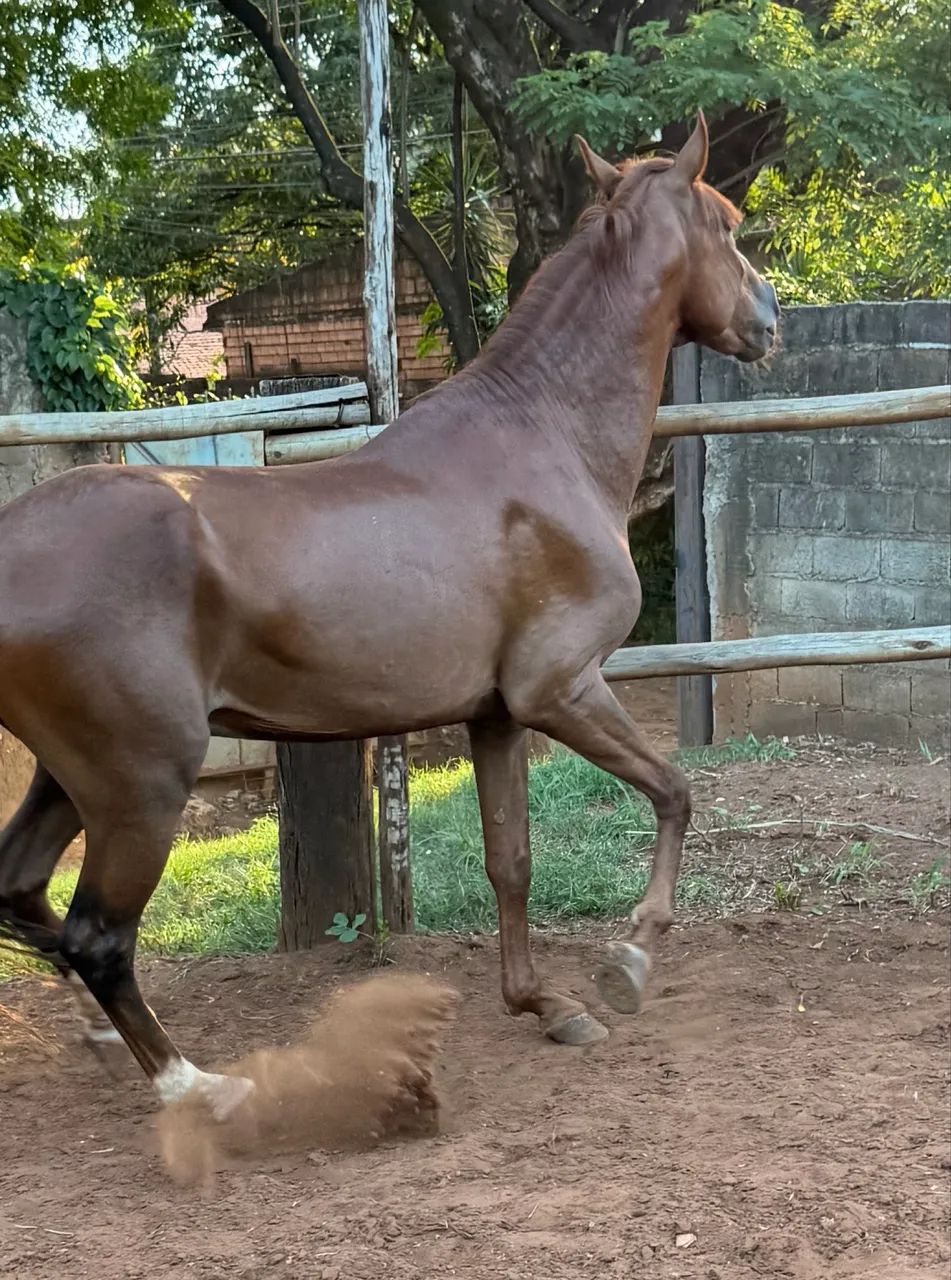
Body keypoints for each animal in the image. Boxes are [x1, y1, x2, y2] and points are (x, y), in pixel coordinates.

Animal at [0, 114, 779, 1120]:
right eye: (726, 224)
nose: (768, 322)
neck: (544, 444)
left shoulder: (495, 715)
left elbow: (510, 860)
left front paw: (545, 1005)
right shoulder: (560, 690)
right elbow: (675, 792)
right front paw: (628, 962)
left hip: (71, 778)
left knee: (26, 895)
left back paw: (109, 1047)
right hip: (141, 784)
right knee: (97, 936)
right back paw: (201, 1088)